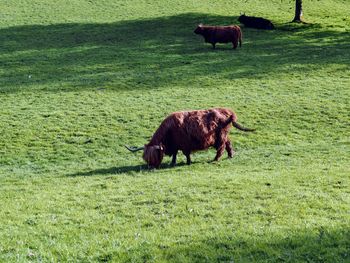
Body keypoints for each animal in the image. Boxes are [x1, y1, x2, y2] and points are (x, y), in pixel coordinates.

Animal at [126, 109, 254, 169]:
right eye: (146, 158)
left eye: (154, 156)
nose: (151, 168)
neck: (169, 131)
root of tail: (228, 112)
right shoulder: (176, 145)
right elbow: (175, 154)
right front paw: (173, 163)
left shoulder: (184, 144)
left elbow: (186, 154)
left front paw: (188, 162)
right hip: (224, 136)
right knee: (228, 143)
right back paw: (230, 155)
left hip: (220, 136)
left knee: (221, 147)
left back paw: (215, 159)